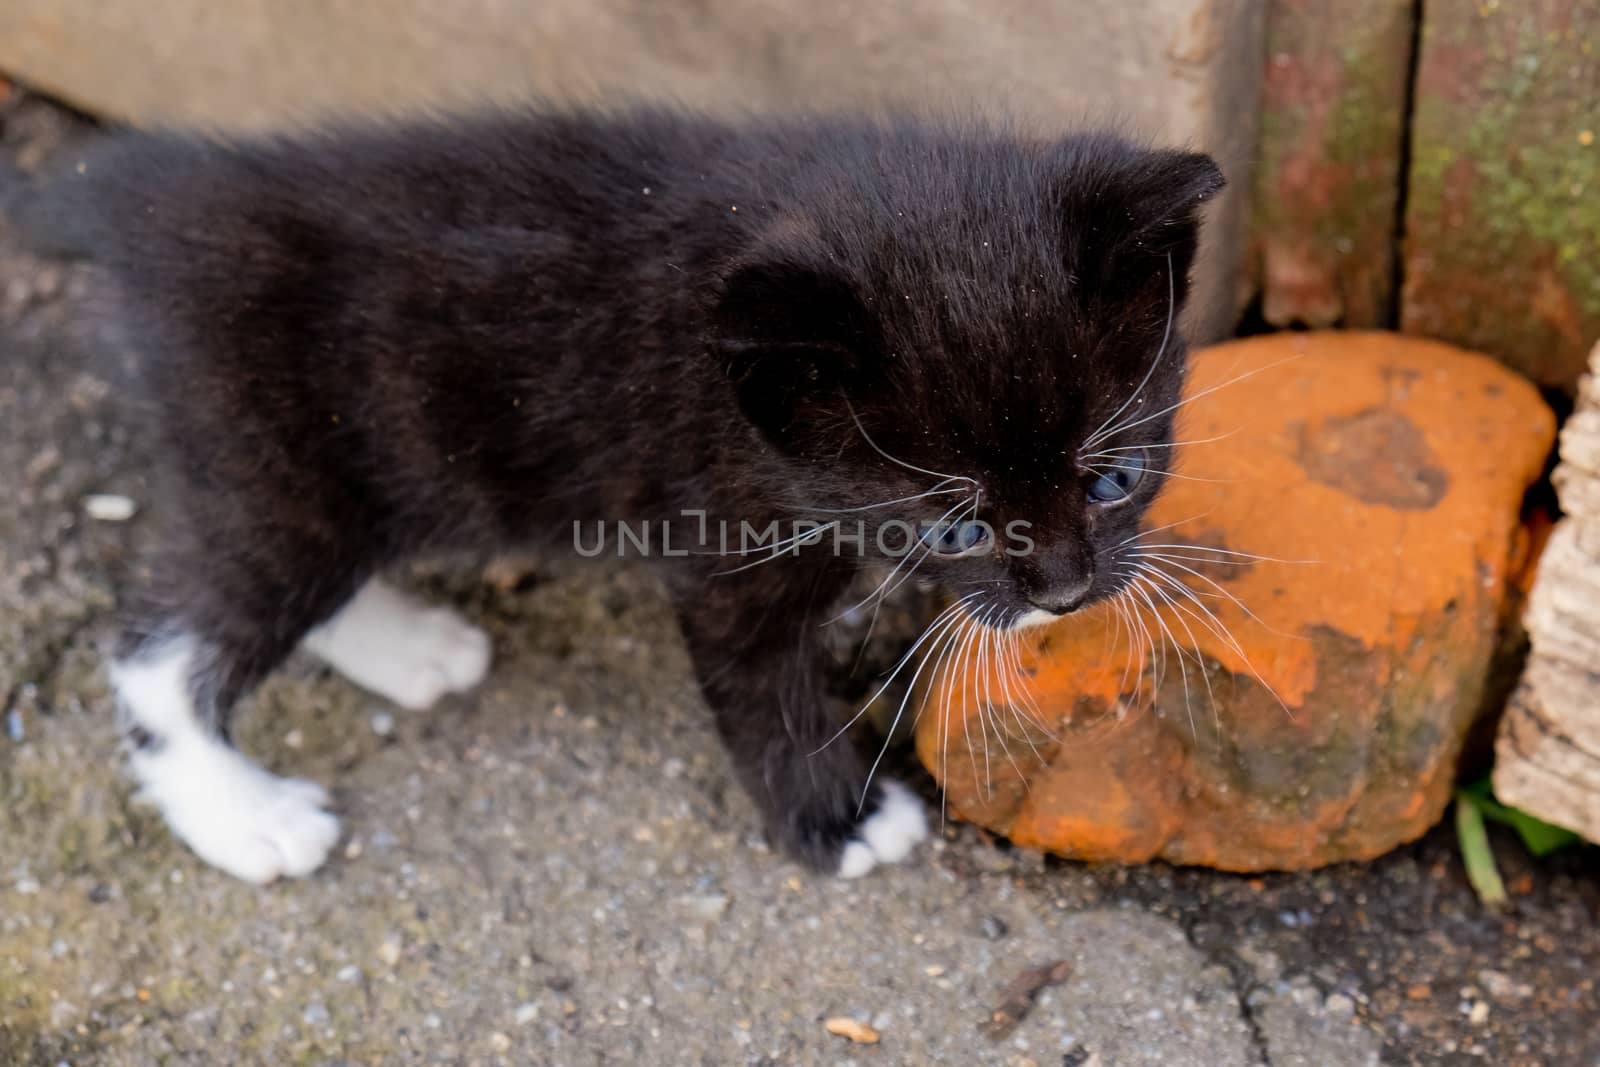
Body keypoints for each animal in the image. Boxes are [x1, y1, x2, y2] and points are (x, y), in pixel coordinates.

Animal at [15, 106, 1222, 883]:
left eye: (1114, 476)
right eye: (957, 524)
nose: (1065, 590)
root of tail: (142, 200)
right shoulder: (716, 528)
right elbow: (756, 683)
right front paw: (835, 817)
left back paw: (411, 649)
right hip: (272, 458)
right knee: (162, 645)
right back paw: (247, 817)